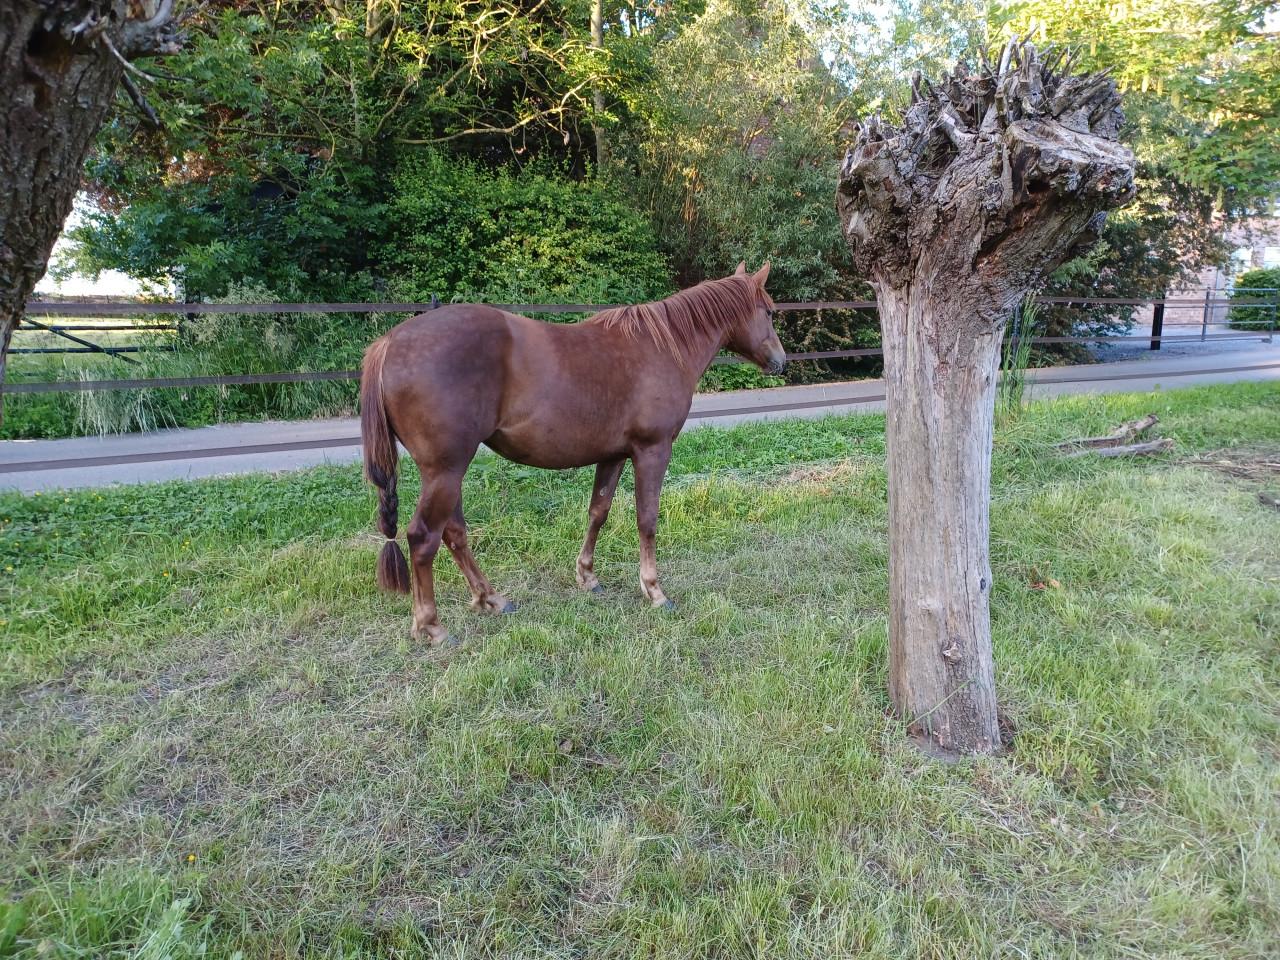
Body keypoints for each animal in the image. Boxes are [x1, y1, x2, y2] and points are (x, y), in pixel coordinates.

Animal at [359, 262, 786, 645]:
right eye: (767, 311)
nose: (780, 361)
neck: (663, 347)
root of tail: (389, 343)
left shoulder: (614, 454)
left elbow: (599, 511)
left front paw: (588, 577)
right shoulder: (652, 450)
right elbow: (646, 519)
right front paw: (654, 590)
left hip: (446, 472)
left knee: (454, 533)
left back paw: (490, 599)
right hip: (446, 471)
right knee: (423, 538)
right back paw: (432, 626)